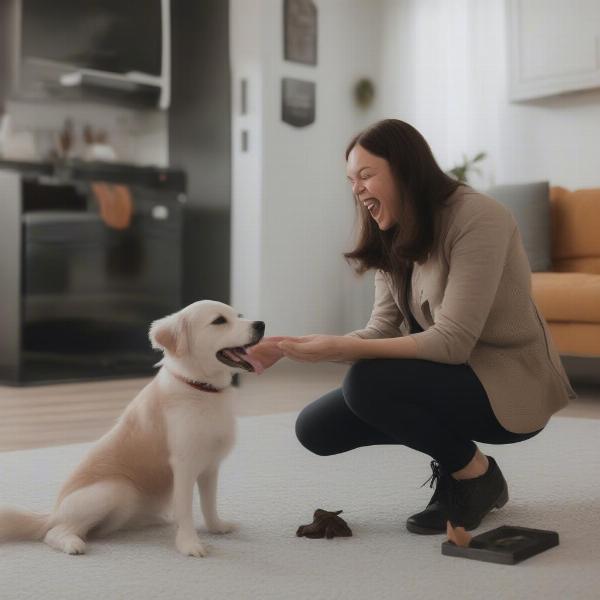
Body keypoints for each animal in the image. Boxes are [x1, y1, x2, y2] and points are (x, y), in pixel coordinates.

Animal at [0, 300, 264, 556]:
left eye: (239, 316)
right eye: (219, 320)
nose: (261, 324)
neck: (200, 388)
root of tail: (53, 512)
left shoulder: (210, 467)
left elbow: (209, 505)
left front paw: (217, 528)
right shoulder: (184, 466)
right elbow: (186, 510)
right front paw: (189, 545)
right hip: (116, 489)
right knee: (54, 532)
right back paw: (72, 543)